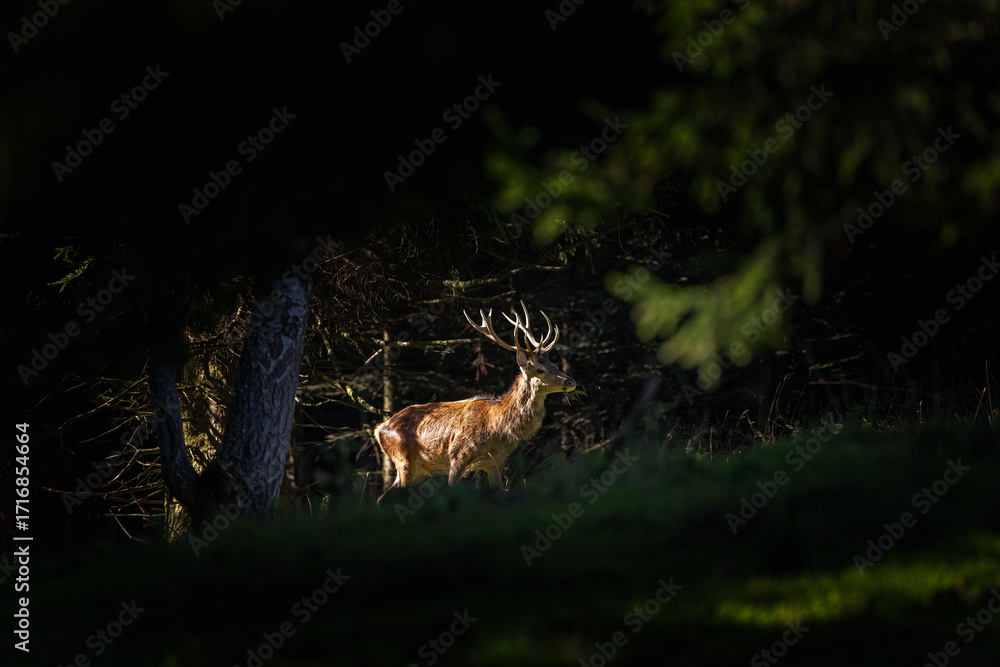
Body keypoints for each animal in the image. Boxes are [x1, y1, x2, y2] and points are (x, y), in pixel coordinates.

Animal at [374, 301, 577, 505]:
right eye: (540, 369)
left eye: (556, 366)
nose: (571, 381)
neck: (498, 426)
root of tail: (380, 428)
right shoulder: (457, 455)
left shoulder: (496, 463)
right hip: (403, 460)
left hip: (419, 470)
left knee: (382, 497)